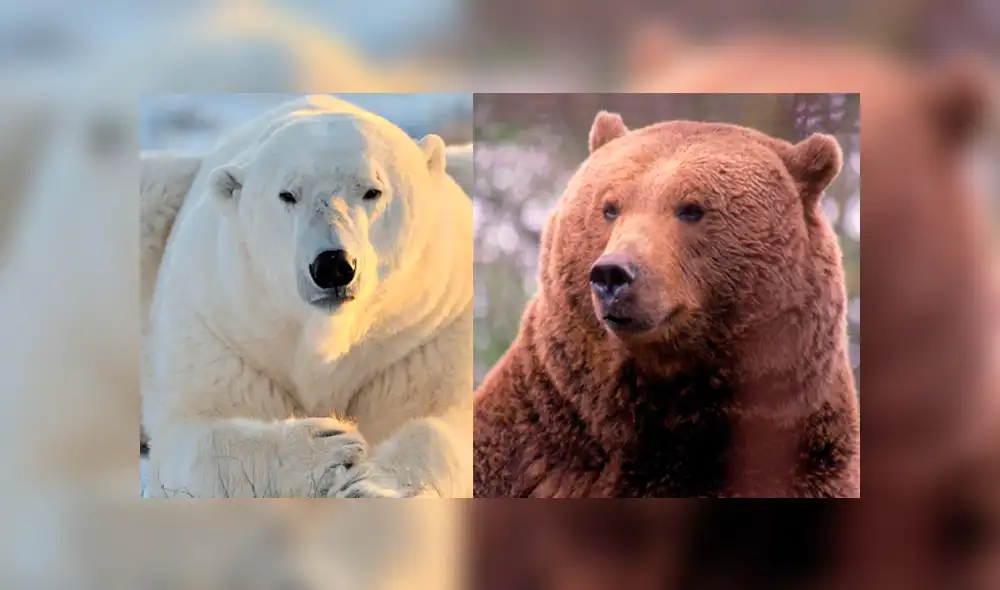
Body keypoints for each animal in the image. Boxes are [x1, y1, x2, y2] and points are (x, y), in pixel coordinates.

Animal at [142, 94, 472, 498]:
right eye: (287, 194)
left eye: (372, 190)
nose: (333, 265)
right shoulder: (220, 326)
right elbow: (195, 437)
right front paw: (327, 445)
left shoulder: (426, 332)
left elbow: (440, 421)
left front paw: (370, 485)